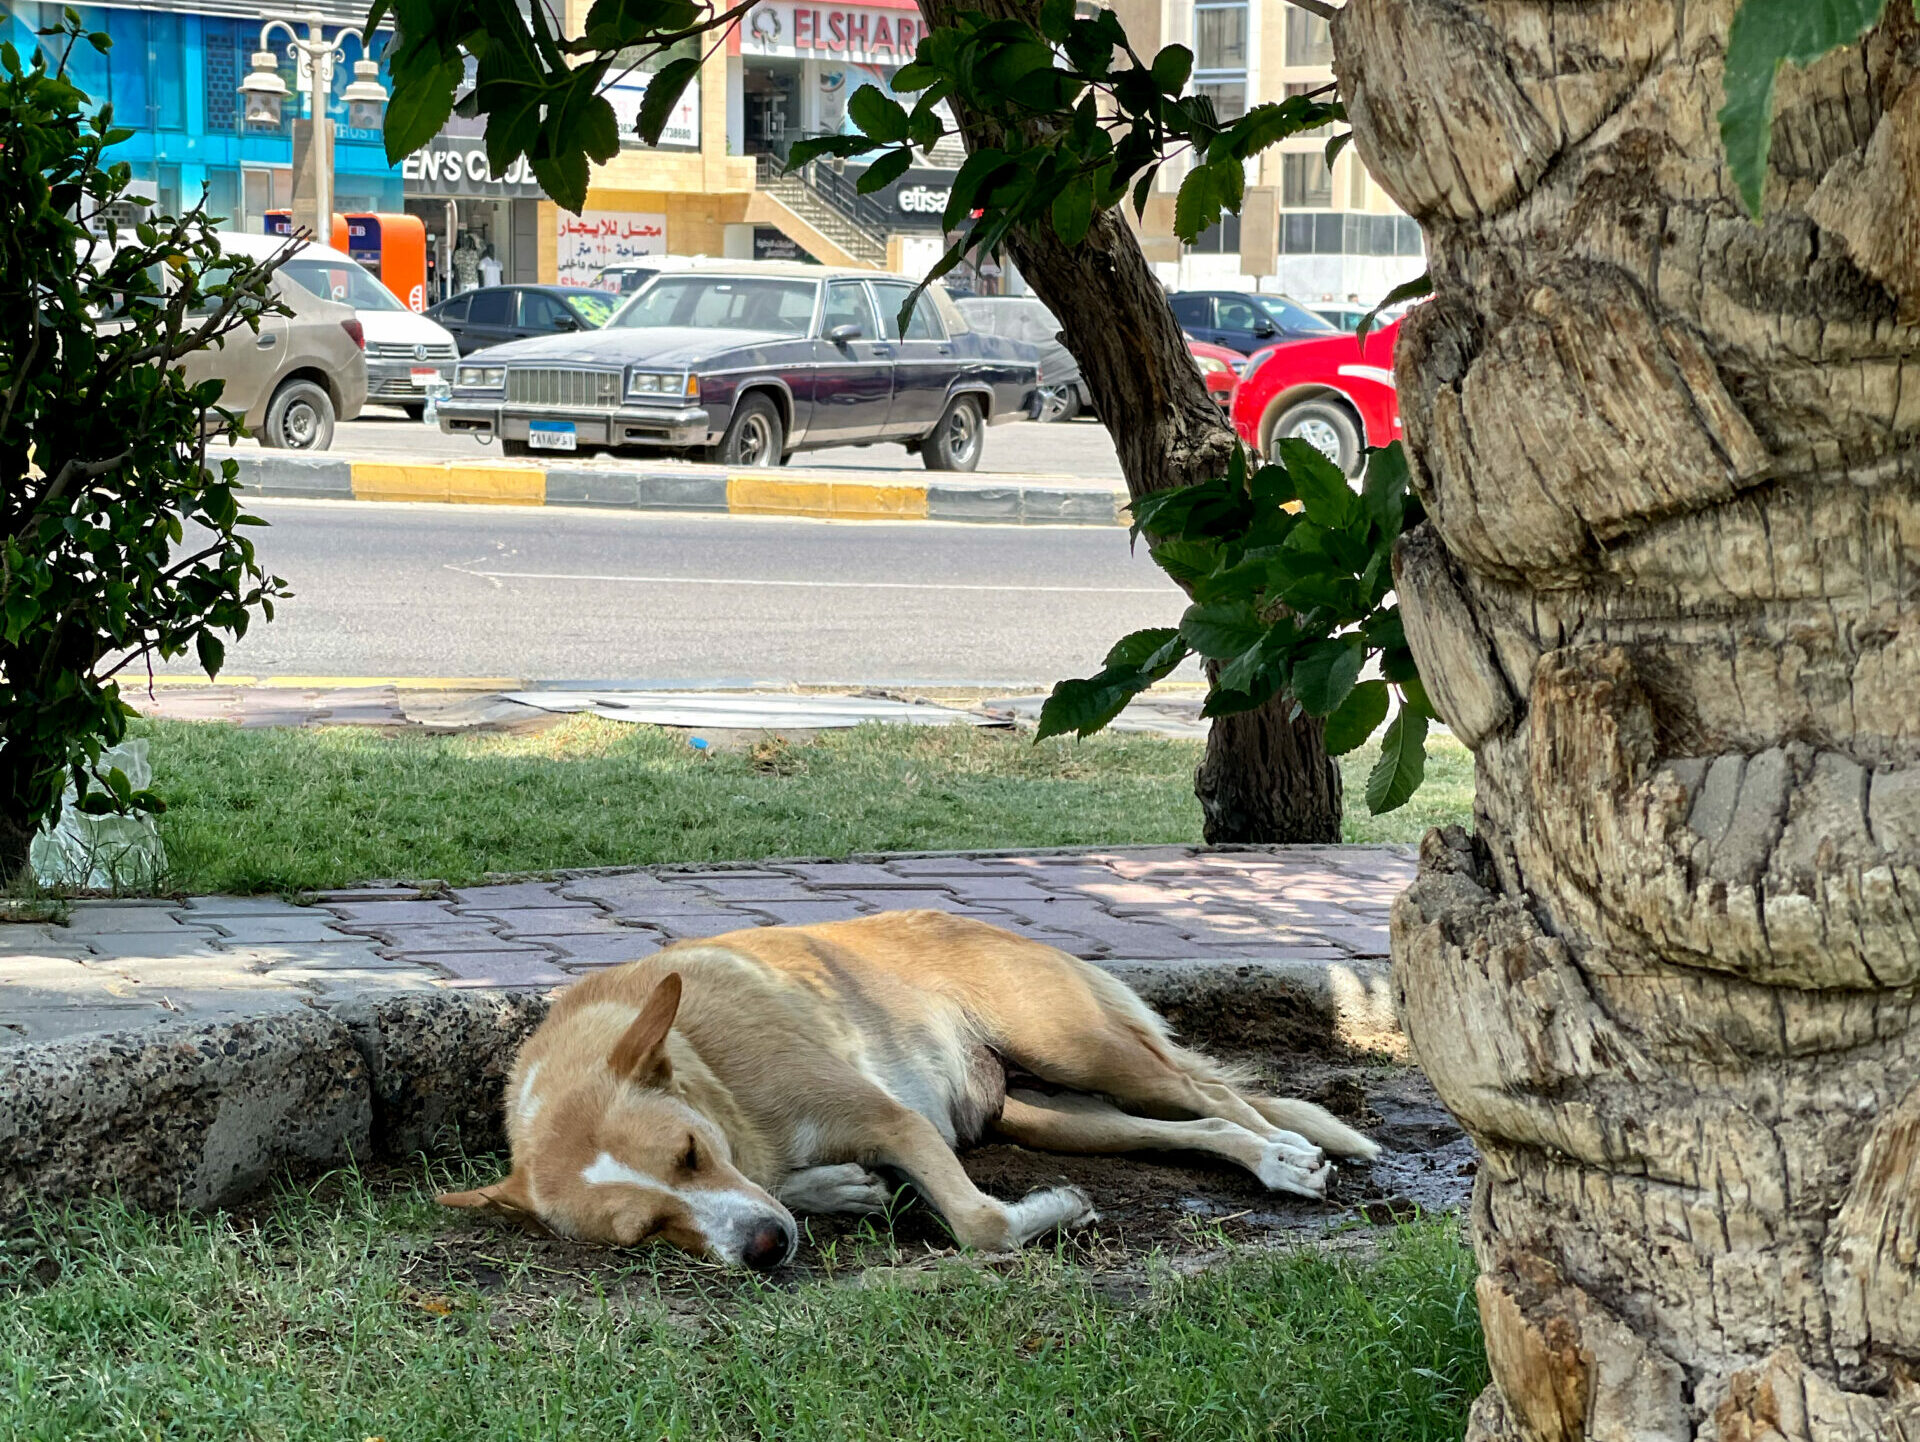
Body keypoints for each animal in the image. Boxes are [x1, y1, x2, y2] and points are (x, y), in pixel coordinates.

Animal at [445, 917, 1382, 1267]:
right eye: (646, 1232)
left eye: (690, 1152)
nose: (765, 1251)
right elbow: (798, 1184)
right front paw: (838, 1190)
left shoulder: (889, 1117)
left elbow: (979, 1223)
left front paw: (1052, 1213)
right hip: (1058, 1116)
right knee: (1190, 1130)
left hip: (1085, 1052)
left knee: (1213, 1095)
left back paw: (1289, 1153)